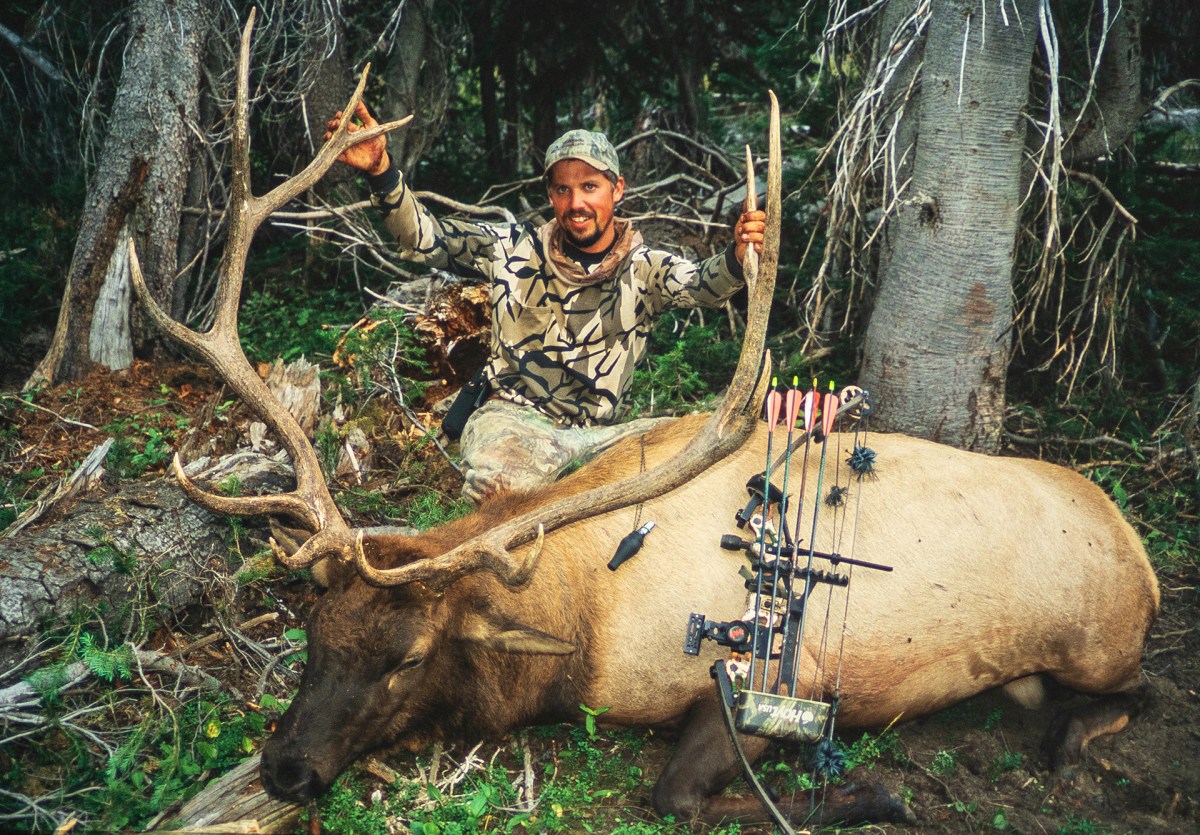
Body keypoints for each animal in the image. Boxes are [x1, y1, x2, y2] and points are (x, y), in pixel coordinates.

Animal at [129, 12, 1160, 829]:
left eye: (406, 655)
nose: (285, 768)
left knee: (1136, 691)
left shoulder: (779, 675)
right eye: (313, 632)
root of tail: (1141, 550)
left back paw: (1068, 743)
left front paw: (876, 793)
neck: (580, 629)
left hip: (1097, 643)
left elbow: (677, 793)